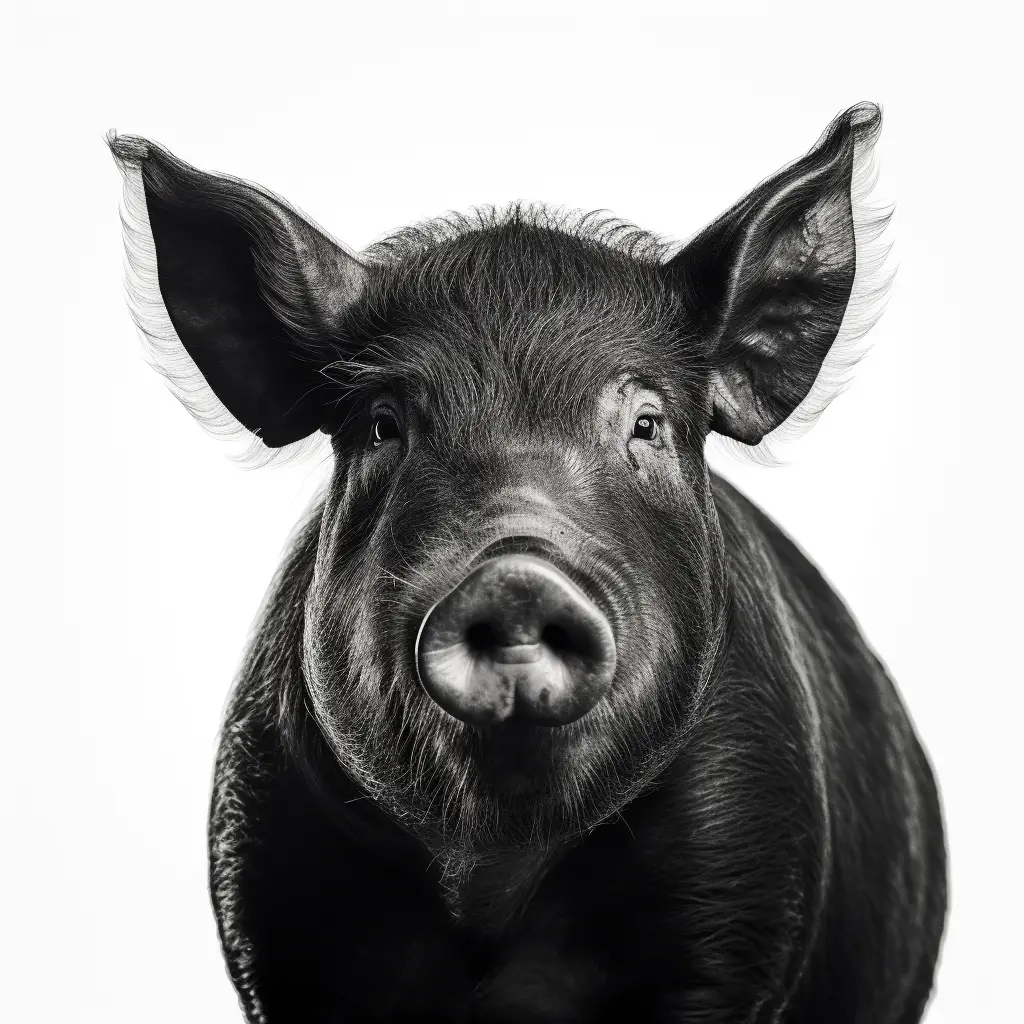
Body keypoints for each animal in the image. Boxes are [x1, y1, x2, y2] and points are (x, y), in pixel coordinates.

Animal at [109, 102, 946, 1023]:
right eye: (382, 426)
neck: (491, 866)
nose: (515, 576)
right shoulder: (266, 879)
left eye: (646, 425)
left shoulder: (739, 880)